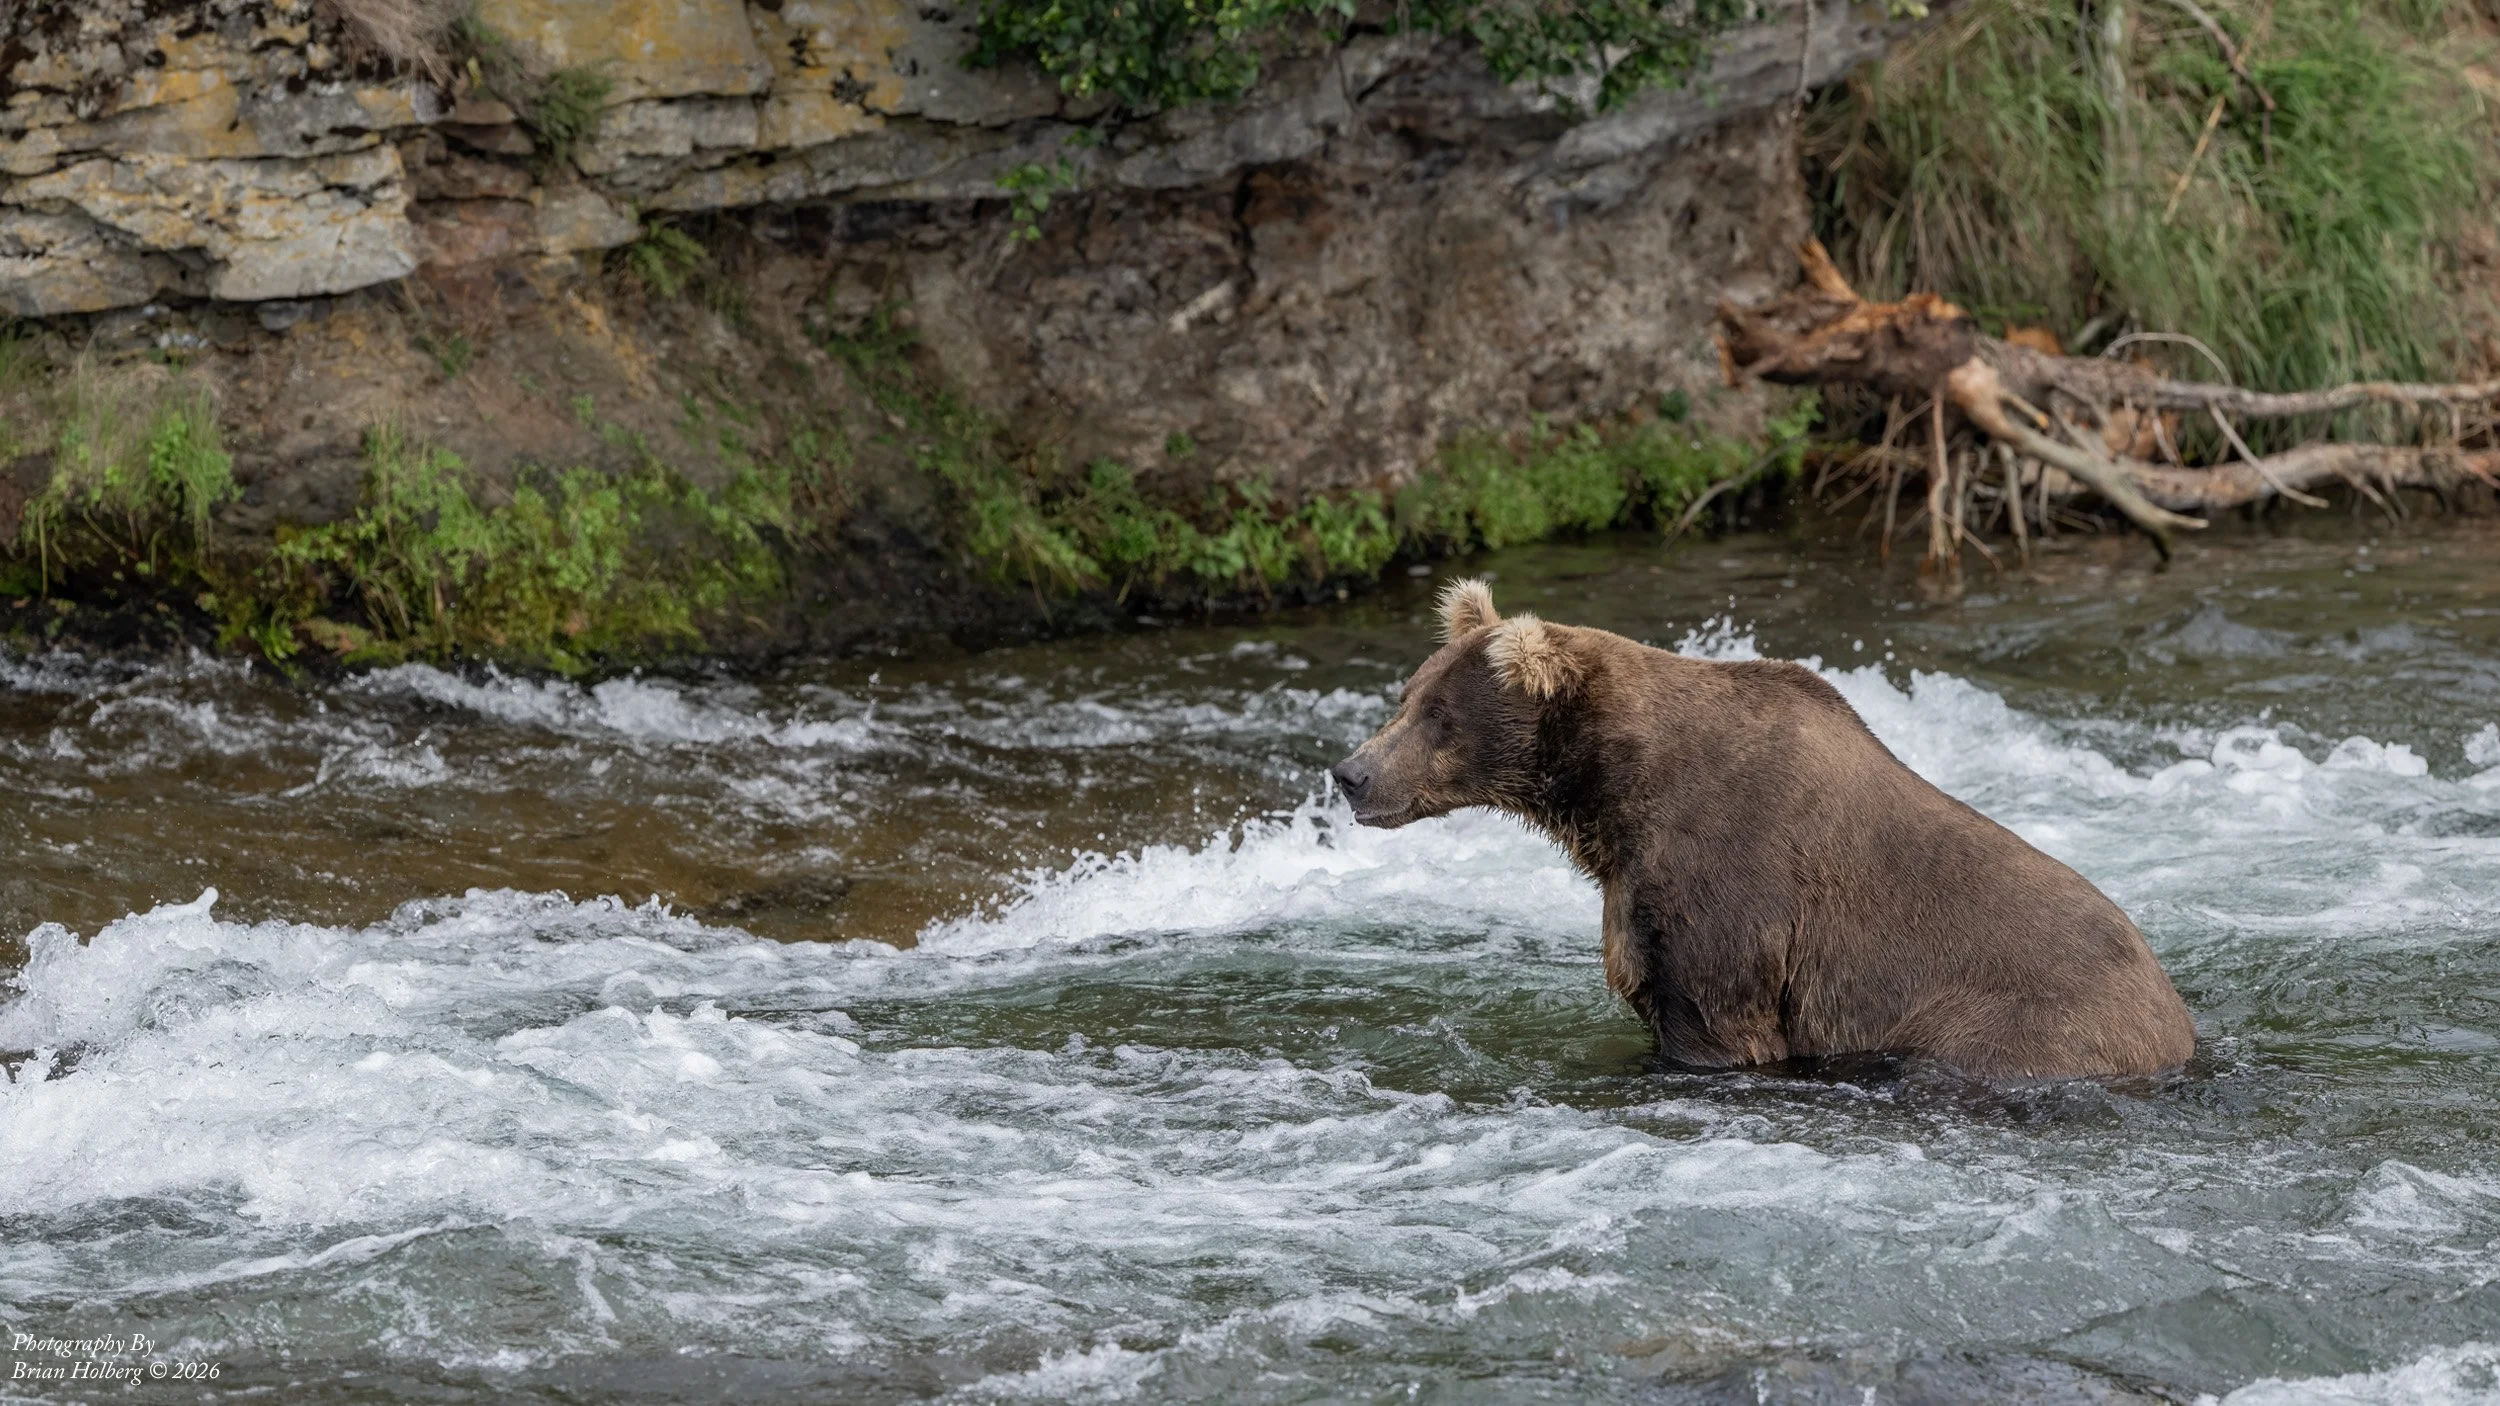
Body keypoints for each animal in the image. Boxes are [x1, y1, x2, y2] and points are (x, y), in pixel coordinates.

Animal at [1329, 579, 2197, 1080]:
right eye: (1407, 695)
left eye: (1439, 717)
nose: (1350, 773)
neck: (1617, 793)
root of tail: (2176, 1018)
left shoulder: (1732, 886)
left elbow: (1716, 1017)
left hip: (2018, 1022)